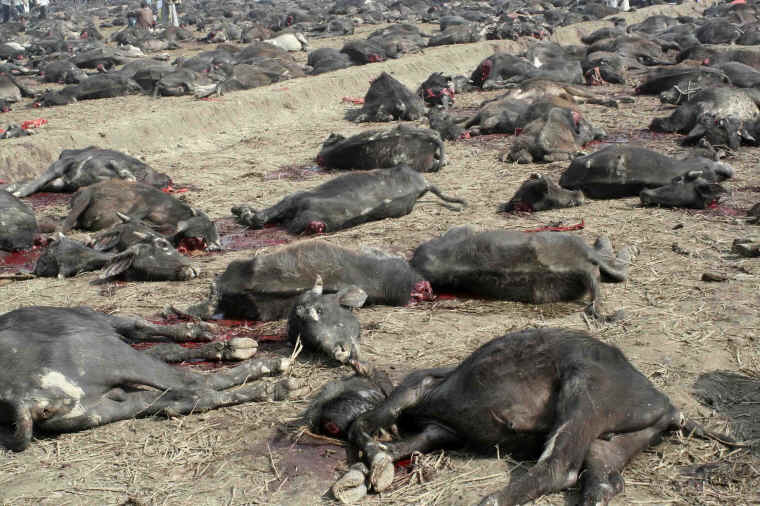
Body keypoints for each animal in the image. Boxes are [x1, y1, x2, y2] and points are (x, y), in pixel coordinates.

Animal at [0, 306, 300, 452]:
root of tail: (22, 400)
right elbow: (142, 327)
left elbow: (165, 347)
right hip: (112, 356)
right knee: (195, 382)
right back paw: (274, 375)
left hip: (107, 408)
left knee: (187, 397)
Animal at [312, 327, 734, 505]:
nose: (321, 419)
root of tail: (670, 407)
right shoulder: (440, 432)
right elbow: (398, 446)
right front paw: (369, 472)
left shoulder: (414, 389)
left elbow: (364, 427)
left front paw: (374, 468)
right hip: (609, 442)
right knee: (601, 483)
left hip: (585, 392)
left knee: (559, 468)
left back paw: (491, 501)